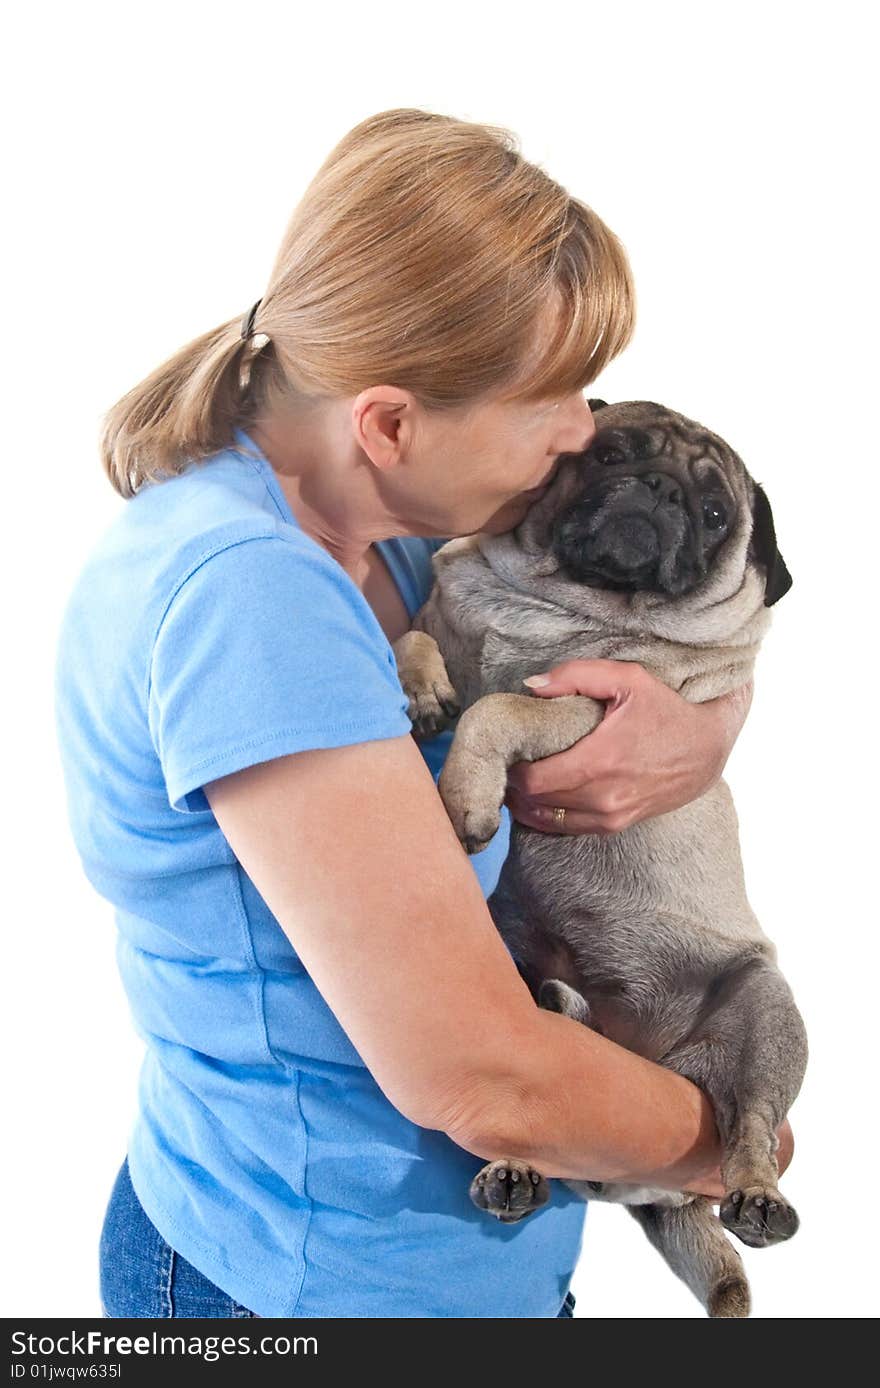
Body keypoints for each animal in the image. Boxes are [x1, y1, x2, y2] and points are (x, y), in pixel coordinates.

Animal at [394, 396, 805, 1315]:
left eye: (716, 513)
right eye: (611, 453)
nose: (658, 490)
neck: (548, 605)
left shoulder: (591, 711)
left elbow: (499, 708)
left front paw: (466, 795)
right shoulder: (440, 622)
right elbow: (414, 641)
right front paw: (424, 689)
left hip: (767, 1020)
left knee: (752, 1126)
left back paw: (759, 1197)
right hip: (520, 985)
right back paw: (512, 1172)